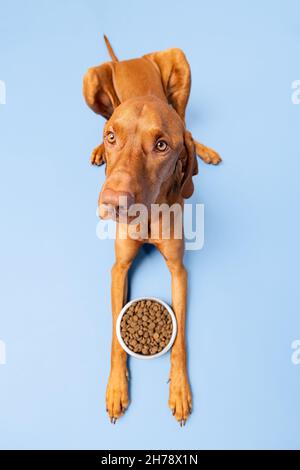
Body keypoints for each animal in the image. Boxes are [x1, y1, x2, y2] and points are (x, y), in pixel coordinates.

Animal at [82, 36, 220, 426]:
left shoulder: (179, 270)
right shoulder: (118, 268)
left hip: (179, 63)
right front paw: (116, 388)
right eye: (113, 138)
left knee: (187, 124)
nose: (111, 202)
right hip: (90, 82)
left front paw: (180, 390)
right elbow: (115, 339)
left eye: (161, 146)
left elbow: (181, 338)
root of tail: (127, 58)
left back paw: (203, 150)